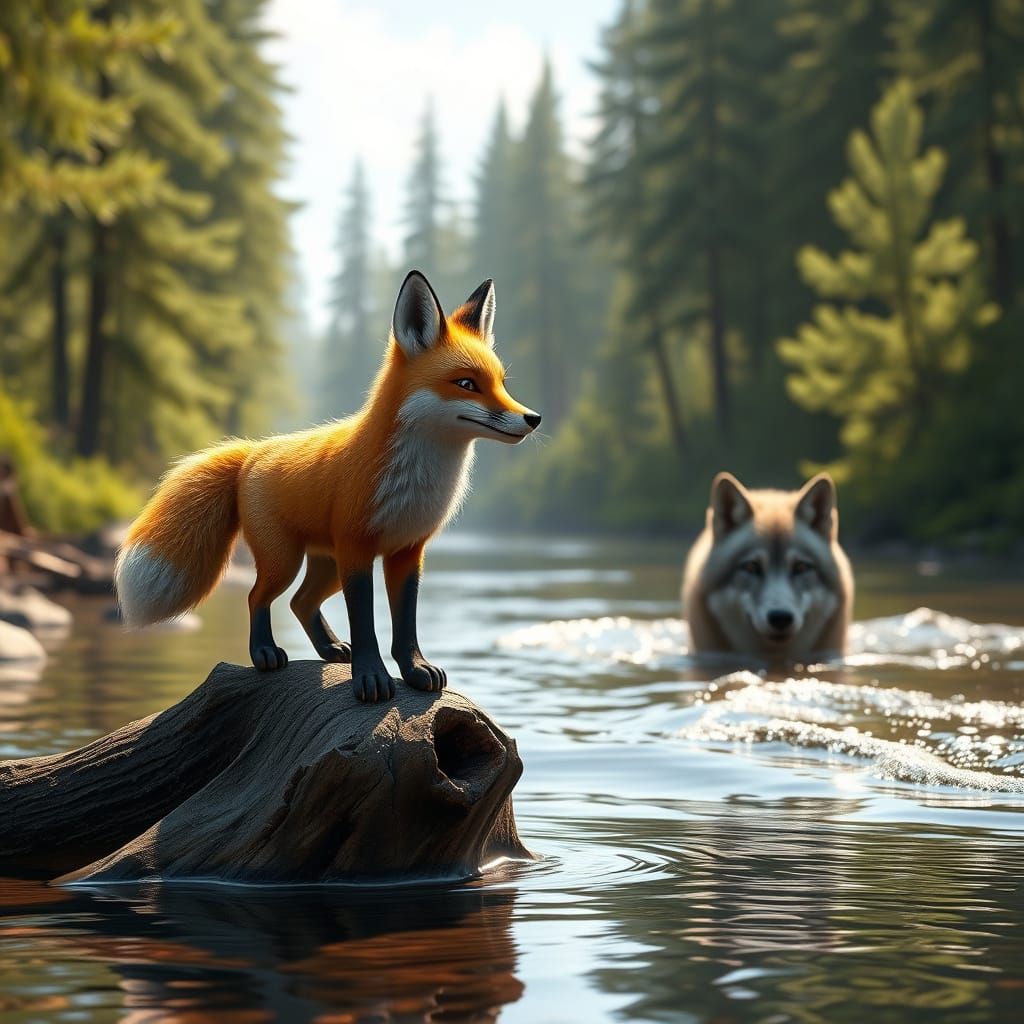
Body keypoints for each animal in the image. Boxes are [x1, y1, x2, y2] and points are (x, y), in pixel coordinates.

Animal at [115, 270, 541, 702]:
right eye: (467, 383)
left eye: (501, 383)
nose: (533, 418)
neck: (415, 481)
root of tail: (252, 452)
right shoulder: (357, 549)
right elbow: (366, 625)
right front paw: (370, 679)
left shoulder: (407, 552)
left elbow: (405, 626)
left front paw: (414, 670)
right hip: (285, 560)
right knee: (258, 596)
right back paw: (265, 652)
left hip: (326, 566)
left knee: (301, 602)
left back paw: (329, 648)